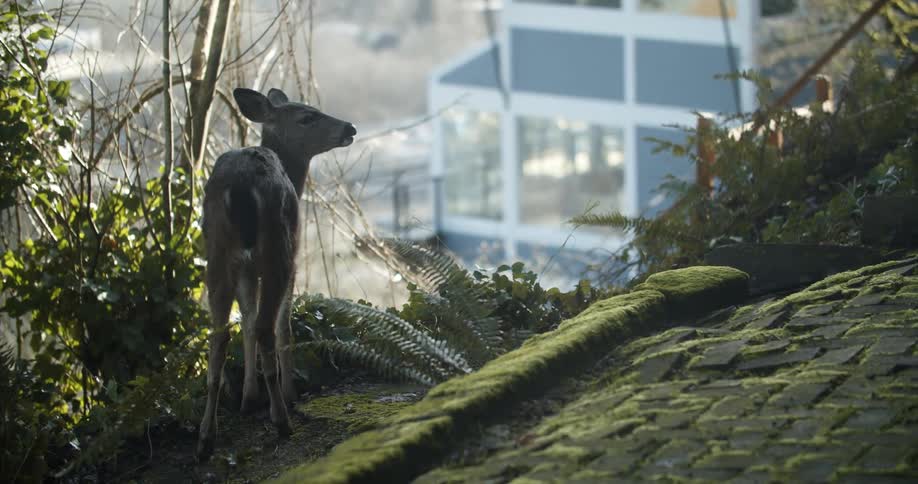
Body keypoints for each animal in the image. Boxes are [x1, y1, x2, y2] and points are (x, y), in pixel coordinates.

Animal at [196, 87, 356, 461]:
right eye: (307, 117)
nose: (350, 128)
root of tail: (241, 187)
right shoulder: (294, 256)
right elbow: (282, 324)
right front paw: (288, 392)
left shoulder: (245, 270)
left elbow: (246, 320)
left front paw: (248, 398)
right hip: (277, 245)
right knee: (267, 327)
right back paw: (282, 419)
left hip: (218, 251)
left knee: (219, 334)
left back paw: (206, 437)